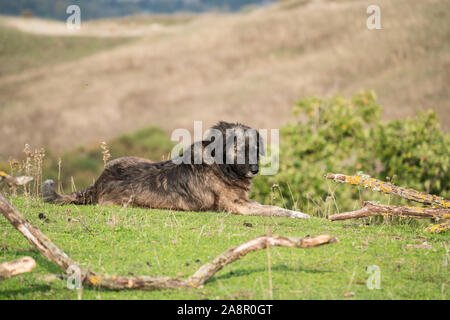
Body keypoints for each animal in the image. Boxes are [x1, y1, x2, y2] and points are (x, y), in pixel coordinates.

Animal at [42, 121, 310, 219]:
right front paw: (300, 215)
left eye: (255, 147)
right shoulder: (238, 205)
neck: (220, 164)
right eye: (239, 148)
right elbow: (275, 209)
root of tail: (98, 183)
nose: (254, 169)